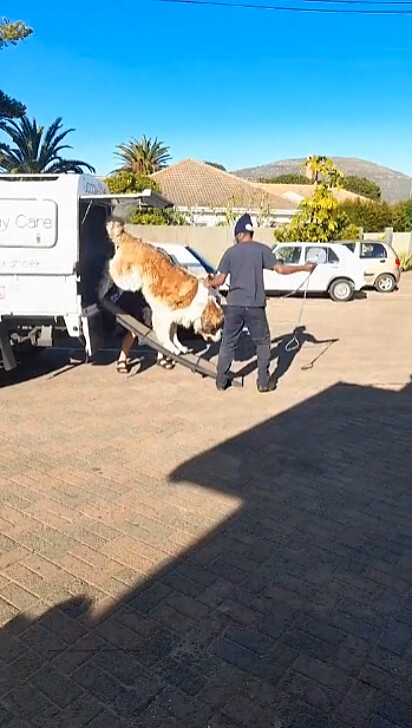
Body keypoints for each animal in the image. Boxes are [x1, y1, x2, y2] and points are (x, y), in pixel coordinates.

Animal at [104, 222, 224, 358]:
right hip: (131, 278)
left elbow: (173, 334)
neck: (201, 305)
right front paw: (171, 347)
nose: (221, 335)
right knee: (112, 268)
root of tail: (132, 239)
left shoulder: (175, 317)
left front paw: (179, 347)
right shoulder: (164, 315)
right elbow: (166, 334)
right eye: (217, 326)